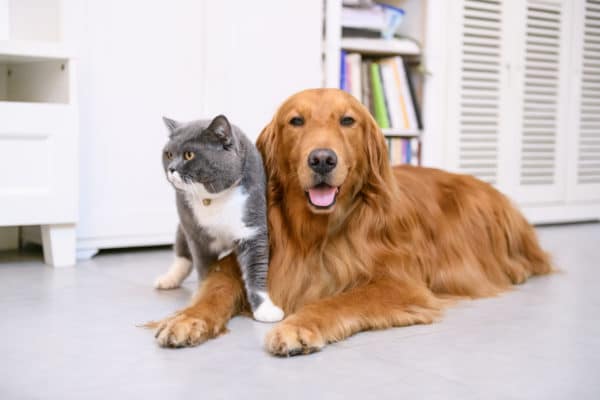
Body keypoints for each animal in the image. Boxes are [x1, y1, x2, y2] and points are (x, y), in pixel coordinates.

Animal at [156, 115, 284, 322]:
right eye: (168, 154)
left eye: (189, 155)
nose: (172, 169)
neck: (213, 199)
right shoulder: (198, 236)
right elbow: (204, 268)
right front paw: (202, 296)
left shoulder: (252, 227)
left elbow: (256, 268)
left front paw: (265, 309)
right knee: (182, 251)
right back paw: (168, 279)